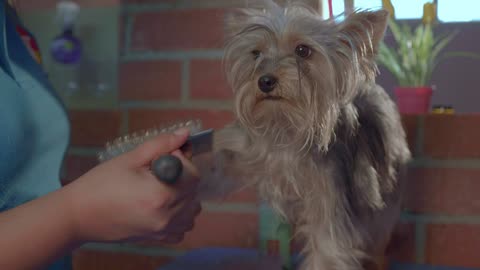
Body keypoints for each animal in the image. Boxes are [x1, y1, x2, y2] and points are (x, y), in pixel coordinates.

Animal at [197, 1, 410, 268]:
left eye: (302, 50)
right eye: (255, 54)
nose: (265, 81)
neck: (287, 126)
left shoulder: (330, 201)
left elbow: (328, 248)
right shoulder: (245, 153)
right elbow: (216, 170)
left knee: (380, 235)